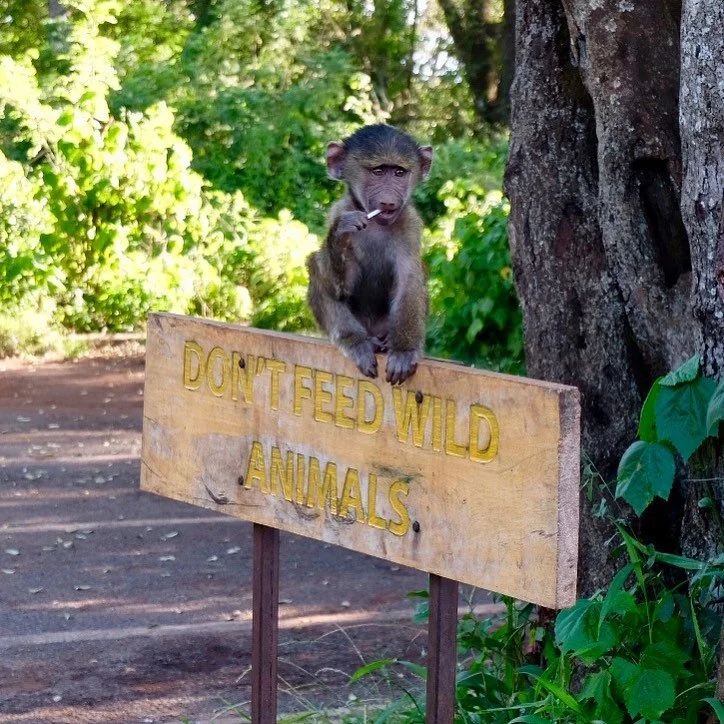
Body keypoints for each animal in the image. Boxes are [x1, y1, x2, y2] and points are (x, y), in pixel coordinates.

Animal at [307, 124, 433, 385]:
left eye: (399, 172)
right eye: (378, 171)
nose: (389, 202)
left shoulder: (410, 223)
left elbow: (409, 279)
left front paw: (404, 351)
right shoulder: (339, 211)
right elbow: (340, 288)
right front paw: (340, 235)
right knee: (316, 266)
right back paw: (359, 343)